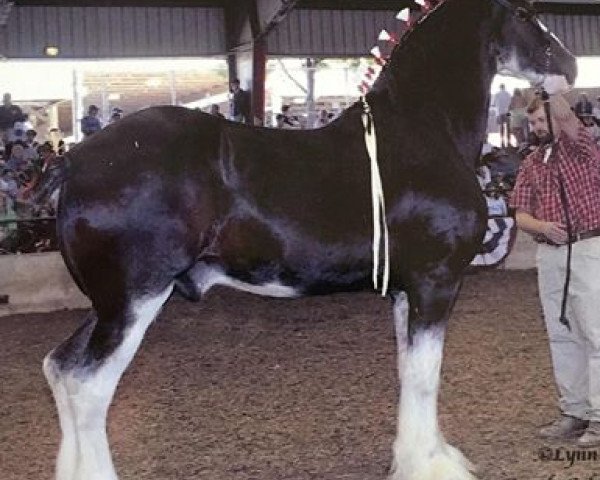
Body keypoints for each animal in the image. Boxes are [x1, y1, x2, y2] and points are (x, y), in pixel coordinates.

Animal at [42, 0, 576, 480]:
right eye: (525, 13)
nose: (571, 65)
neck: (423, 130)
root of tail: (74, 161)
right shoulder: (436, 281)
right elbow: (427, 375)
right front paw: (432, 466)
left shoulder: (406, 290)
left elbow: (408, 371)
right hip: (136, 298)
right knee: (89, 387)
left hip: (109, 305)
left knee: (60, 369)